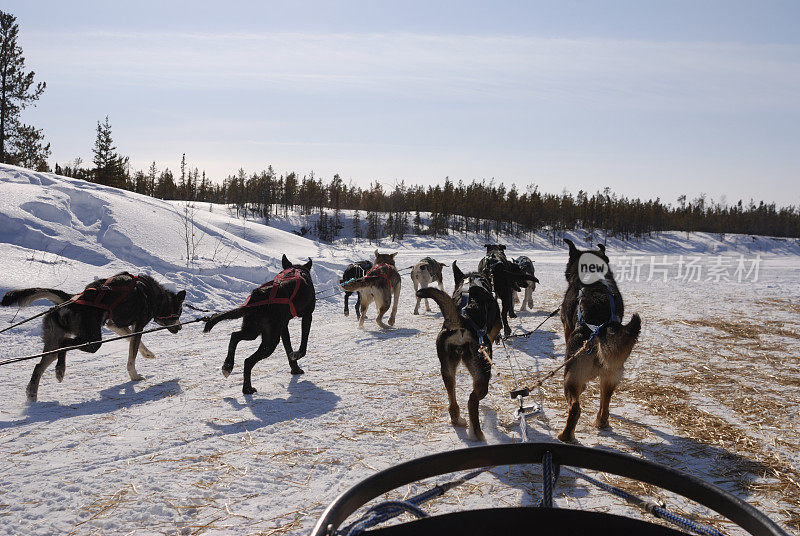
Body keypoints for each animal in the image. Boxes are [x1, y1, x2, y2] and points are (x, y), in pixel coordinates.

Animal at [2, 272, 186, 402]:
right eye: (178, 312)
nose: (180, 327)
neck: (154, 294)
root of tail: (71, 300)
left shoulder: (115, 325)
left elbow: (133, 342)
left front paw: (147, 353)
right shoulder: (137, 325)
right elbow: (131, 355)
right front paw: (134, 376)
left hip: (54, 343)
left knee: (39, 365)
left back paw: (32, 393)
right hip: (93, 341)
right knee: (64, 344)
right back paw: (60, 370)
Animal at [203, 255, 316, 394]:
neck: (297, 270)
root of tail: (256, 298)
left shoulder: (283, 326)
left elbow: (288, 347)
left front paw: (295, 368)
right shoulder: (307, 315)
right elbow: (303, 346)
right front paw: (296, 356)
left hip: (253, 331)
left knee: (235, 336)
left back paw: (228, 365)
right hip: (270, 340)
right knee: (248, 361)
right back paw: (247, 388)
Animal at [418, 262, 500, 442]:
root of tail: (460, 321)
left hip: (447, 369)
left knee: (452, 398)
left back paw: (458, 419)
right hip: (482, 371)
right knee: (472, 399)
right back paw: (477, 433)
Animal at [556, 241, 644, 442]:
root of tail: (599, 330)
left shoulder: (566, 327)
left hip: (570, 377)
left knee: (575, 407)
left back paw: (565, 435)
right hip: (611, 375)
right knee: (605, 402)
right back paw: (601, 422)